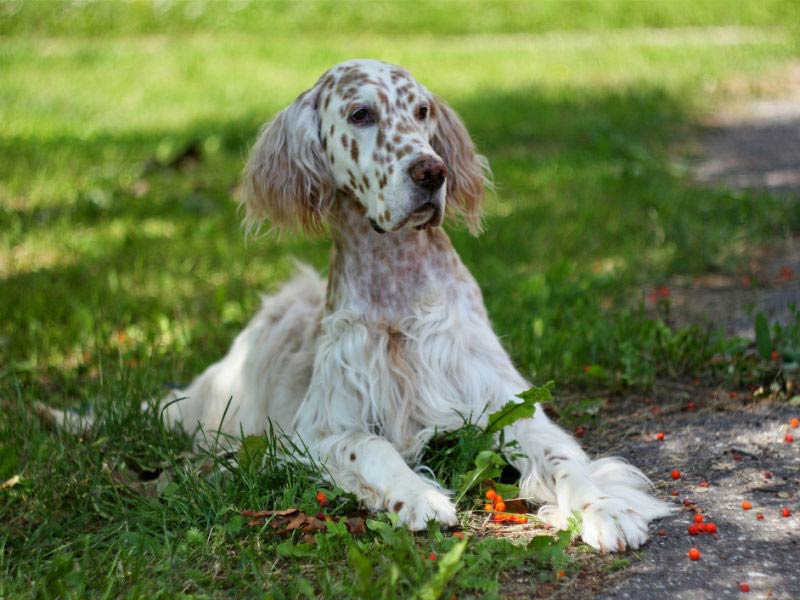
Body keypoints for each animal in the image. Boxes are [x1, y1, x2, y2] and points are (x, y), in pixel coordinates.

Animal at [162, 58, 676, 552]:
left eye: (422, 111)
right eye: (361, 114)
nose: (432, 171)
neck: (396, 285)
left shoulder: (506, 402)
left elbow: (563, 457)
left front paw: (603, 509)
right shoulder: (317, 430)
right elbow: (372, 446)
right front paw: (417, 495)